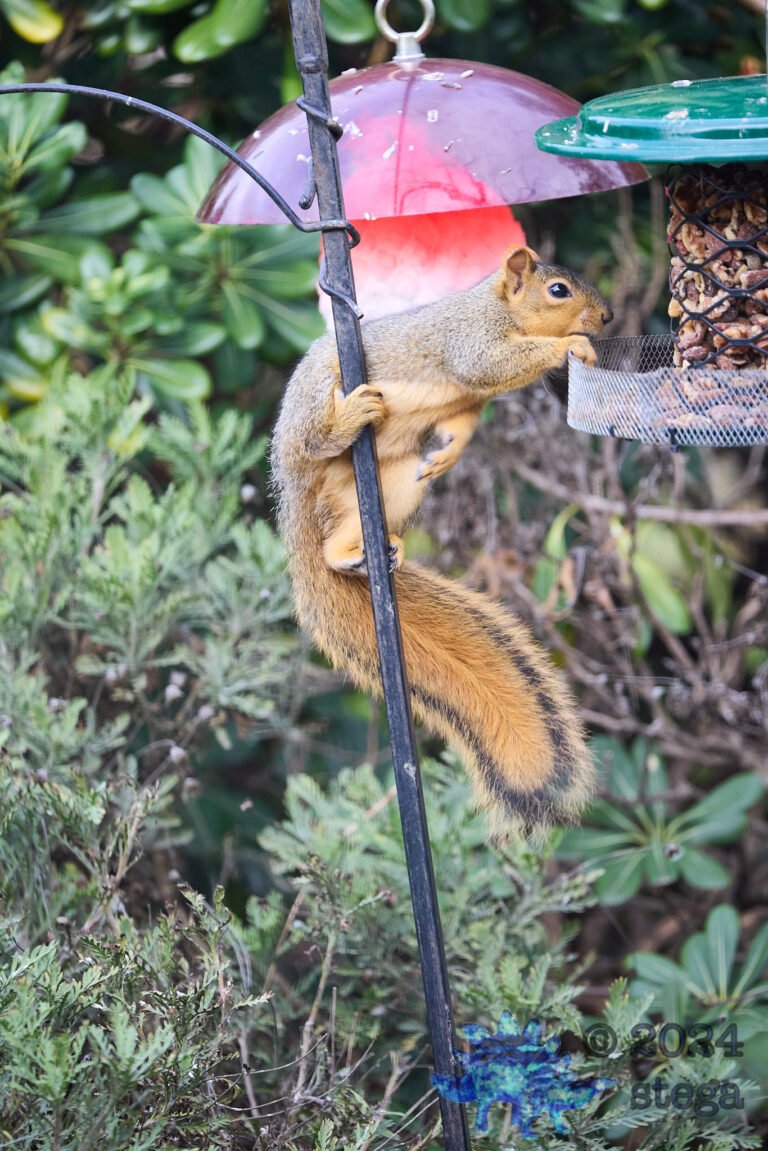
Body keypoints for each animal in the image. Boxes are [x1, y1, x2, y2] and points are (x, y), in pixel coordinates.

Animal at [271, 246, 613, 836]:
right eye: (559, 291)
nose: (607, 317)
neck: (497, 309)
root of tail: (295, 494)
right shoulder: (471, 344)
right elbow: (493, 362)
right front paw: (571, 345)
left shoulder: (469, 397)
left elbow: (465, 418)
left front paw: (452, 451)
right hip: (313, 406)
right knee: (315, 438)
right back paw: (345, 421)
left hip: (396, 483)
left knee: (337, 543)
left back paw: (359, 552)